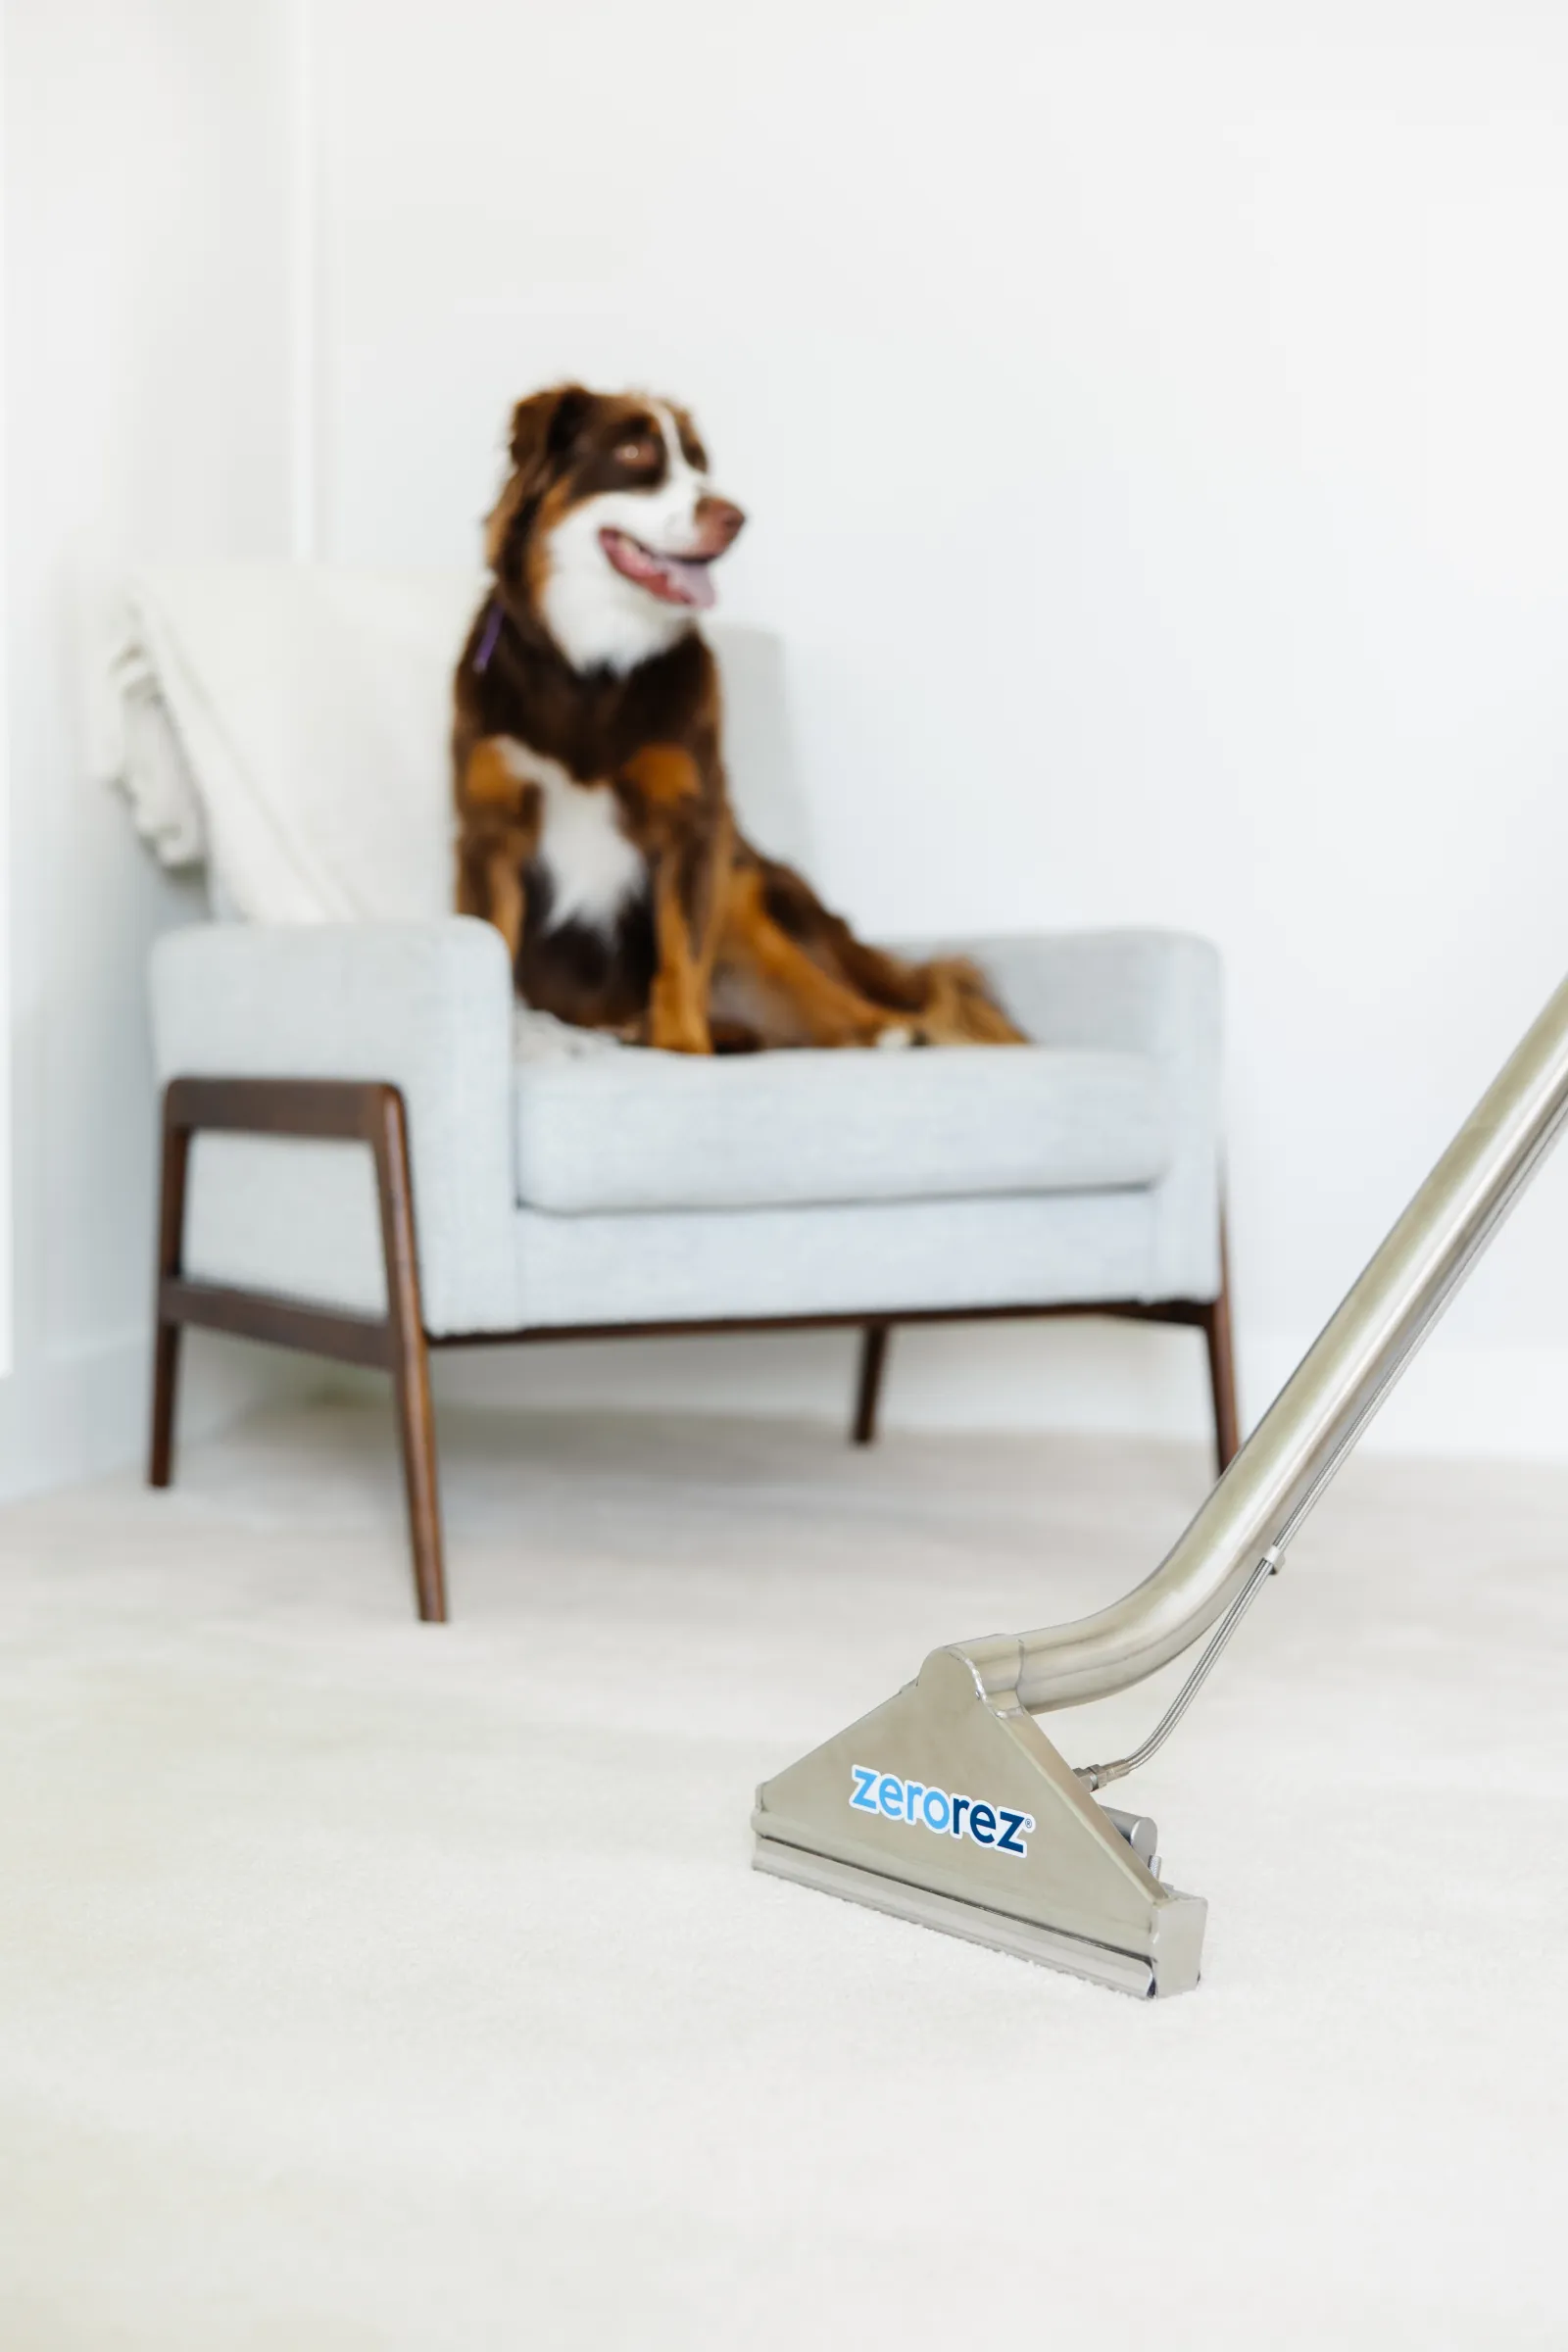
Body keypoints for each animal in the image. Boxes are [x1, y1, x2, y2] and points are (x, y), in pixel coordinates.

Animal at [451, 385, 1029, 1049]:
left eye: (700, 462)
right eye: (633, 451)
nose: (735, 518)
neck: (590, 670)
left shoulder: (695, 823)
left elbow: (682, 954)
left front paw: (682, 1047)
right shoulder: (490, 829)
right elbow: (495, 943)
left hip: (752, 894)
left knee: (861, 1004)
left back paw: (889, 1030)